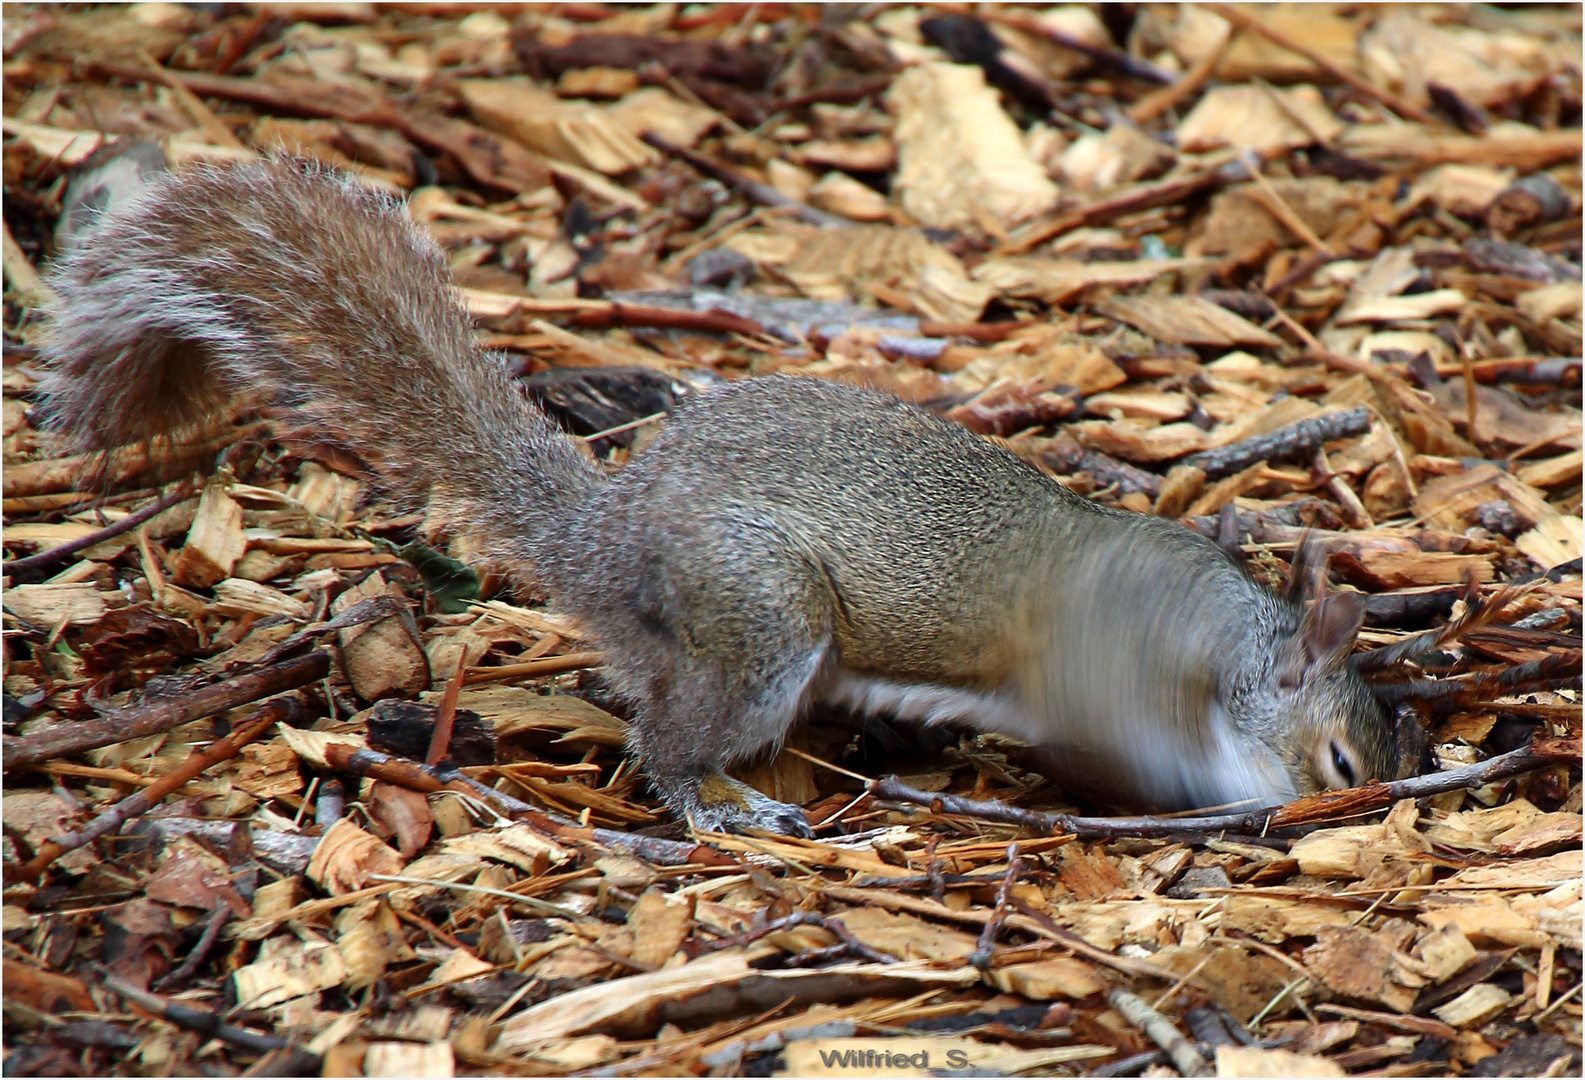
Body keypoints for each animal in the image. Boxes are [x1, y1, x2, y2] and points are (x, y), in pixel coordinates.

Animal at [40, 157, 1401, 831]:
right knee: (663, 740)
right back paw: (724, 803)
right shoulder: (1103, 691)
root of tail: (605, 536)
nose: (1355, 813)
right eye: (1339, 758)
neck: (1217, 650)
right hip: (760, 618)